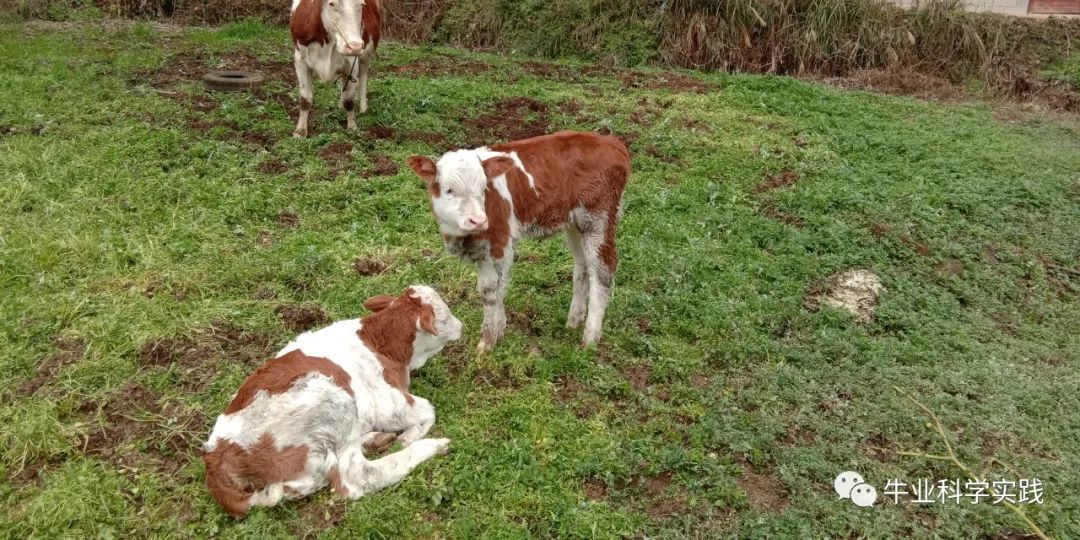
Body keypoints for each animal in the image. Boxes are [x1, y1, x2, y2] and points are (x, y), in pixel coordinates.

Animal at [203, 285, 460, 516]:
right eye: (445, 316)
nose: (462, 326)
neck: (379, 344)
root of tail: (214, 458)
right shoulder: (388, 403)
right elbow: (428, 409)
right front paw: (408, 438)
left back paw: (374, 439)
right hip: (333, 399)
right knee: (357, 477)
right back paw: (431, 446)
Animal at [289, 0, 382, 139]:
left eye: (360, 4)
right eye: (332, 3)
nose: (354, 46)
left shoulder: (352, 63)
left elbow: (349, 100)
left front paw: (352, 127)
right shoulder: (300, 60)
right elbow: (305, 99)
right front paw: (300, 131)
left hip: (366, 54)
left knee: (363, 78)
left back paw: (363, 108)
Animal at [406, 129, 630, 349]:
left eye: (484, 189)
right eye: (449, 190)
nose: (478, 220)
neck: (463, 238)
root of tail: (609, 141)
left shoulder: (500, 241)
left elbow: (492, 290)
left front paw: (487, 342)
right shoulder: (484, 248)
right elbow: (498, 286)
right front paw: (500, 329)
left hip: (598, 218)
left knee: (602, 271)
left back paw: (590, 338)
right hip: (575, 223)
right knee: (582, 265)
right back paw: (573, 321)